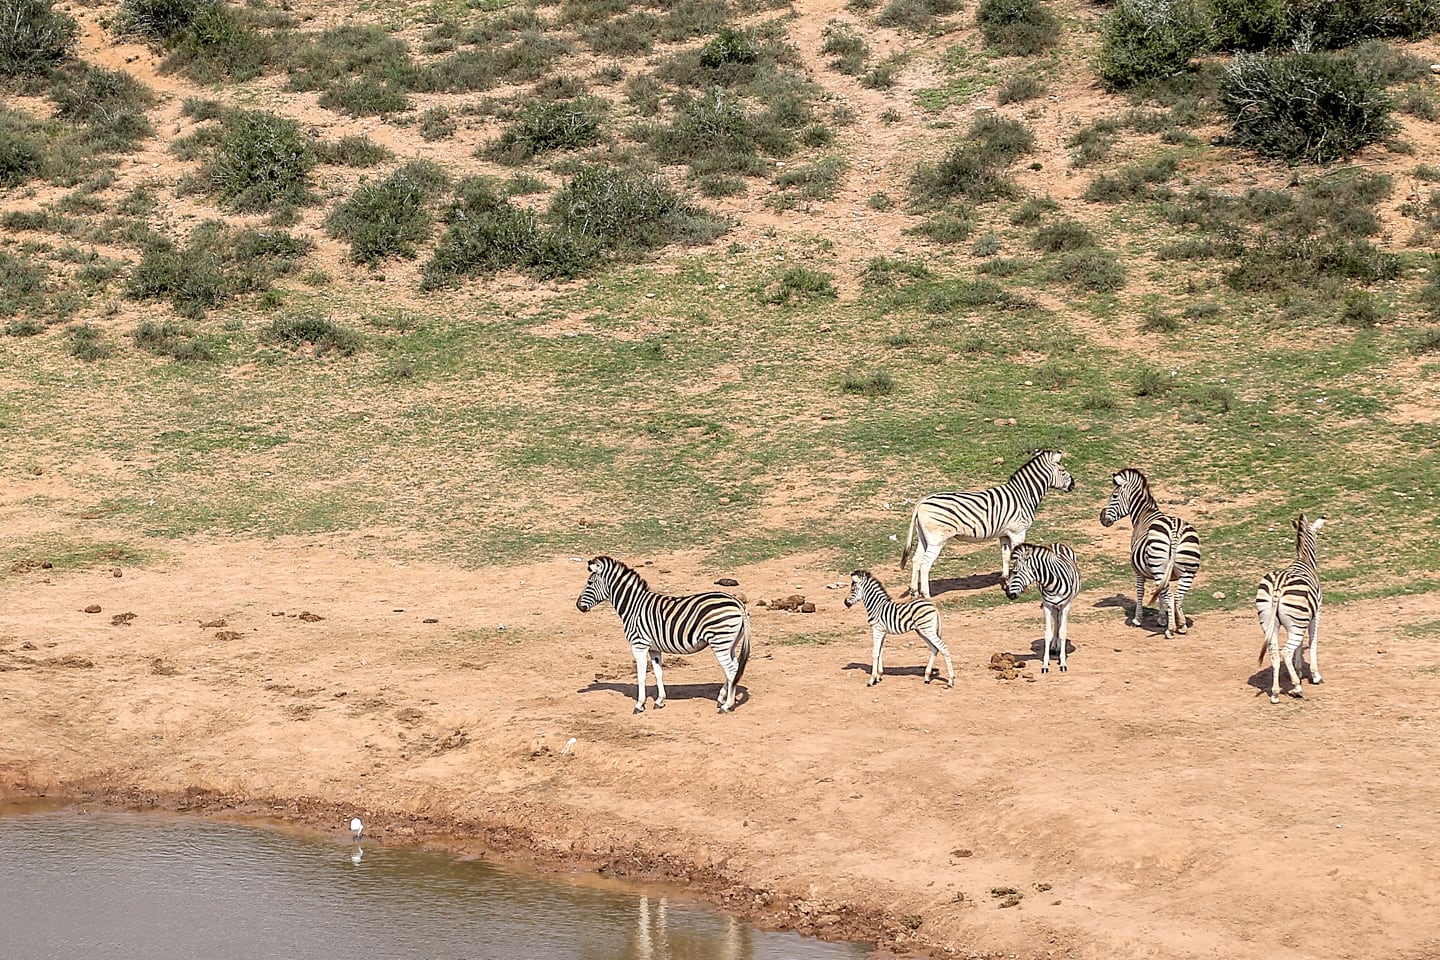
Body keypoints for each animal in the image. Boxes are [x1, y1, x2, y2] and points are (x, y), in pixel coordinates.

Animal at [573, 555, 754, 713]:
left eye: (589, 582)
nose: (578, 606)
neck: (633, 605)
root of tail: (737, 603)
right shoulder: (654, 648)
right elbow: (658, 672)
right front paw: (660, 701)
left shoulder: (638, 645)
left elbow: (641, 675)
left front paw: (639, 704)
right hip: (729, 643)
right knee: (735, 668)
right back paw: (722, 698)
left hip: (720, 642)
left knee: (731, 670)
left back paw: (727, 705)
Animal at [904, 451, 1077, 601]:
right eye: (1062, 471)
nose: (1073, 485)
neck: (1023, 494)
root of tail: (922, 501)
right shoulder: (1018, 532)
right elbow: (1018, 558)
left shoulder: (1005, 534)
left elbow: (1006, 557)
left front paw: (1006, 581)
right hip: (937, 540)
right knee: (925, 564)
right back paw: (926, 595)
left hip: (924, 537)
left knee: (916, 560)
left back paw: (914, 592)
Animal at [1002, 541, 1082, 676]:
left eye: (1015, 572)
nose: (1008, 594)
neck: (1052, 582)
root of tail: (1058, 542)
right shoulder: (1047, 605)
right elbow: (1048, 634)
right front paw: (1045, 664)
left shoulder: (1066, 605)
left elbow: (1063, 632)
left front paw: (1063, 663)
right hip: (1053, 606)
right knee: (1056, 620)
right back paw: (1055, 646)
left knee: (1059, 621)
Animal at [1100, 466, 1203, 639]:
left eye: (1114, 496)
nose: (1102, 518)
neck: (1144, 514)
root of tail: (1175, 531)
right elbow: (1159, 593)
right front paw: (1162, 619)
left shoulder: (1138, 571)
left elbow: (1141, 592)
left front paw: (1137, 619)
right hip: (1187, 571)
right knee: (1177, 596)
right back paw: (1181, 625)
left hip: (1161, 567)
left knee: (1170, 596)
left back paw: (1170, 630)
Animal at [1249, 518, 1324, 705]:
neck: (1304, 559)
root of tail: (1278, 587)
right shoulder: (1316, 614)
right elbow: (1312, 641)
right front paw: (1315, 676)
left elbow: (1300, 646)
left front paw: (1298, 671)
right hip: (1296, 623)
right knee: (1286, 652)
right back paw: (1297, 688)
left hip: (1268, 622)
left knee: (1275, 654)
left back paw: (1275, 693)